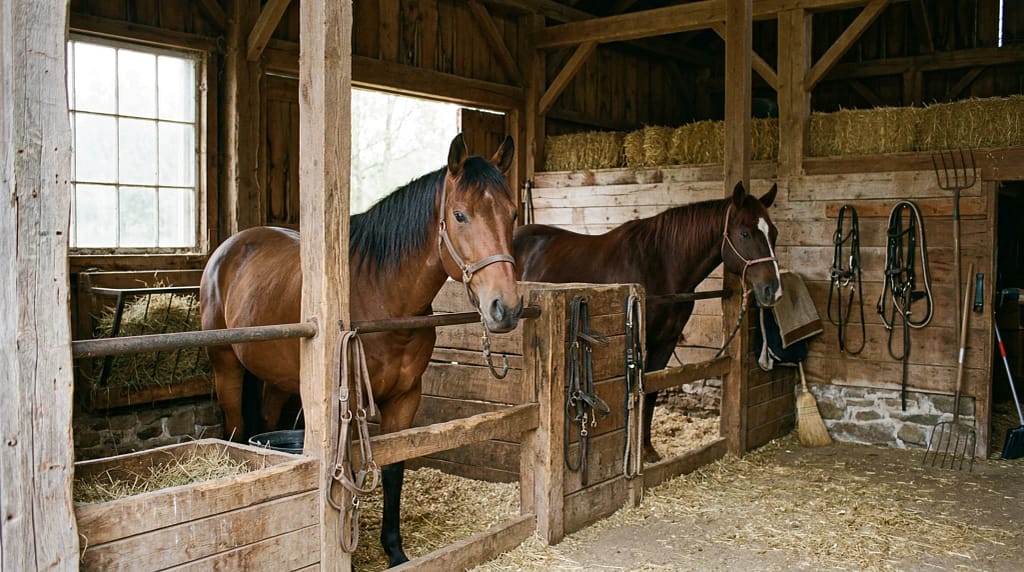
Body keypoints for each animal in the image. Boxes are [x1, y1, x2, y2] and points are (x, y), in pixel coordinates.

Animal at [200, 133, 522, 567]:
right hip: (226, 368)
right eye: (460, 215)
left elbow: (393, 468)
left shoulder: (405, 398)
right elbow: (348, 474)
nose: (506, 307)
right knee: (235, 428)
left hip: (281, 381)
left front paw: (395, 550)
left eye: (512, 213)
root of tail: (231, 247)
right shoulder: (349, 405)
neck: (381, 297)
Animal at [514, 181, 781, 463]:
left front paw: (648, 450)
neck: (659, 265)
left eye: (773, 232)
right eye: (745, 234)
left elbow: (652, 391)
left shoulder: (666, 342)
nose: (772, 290)